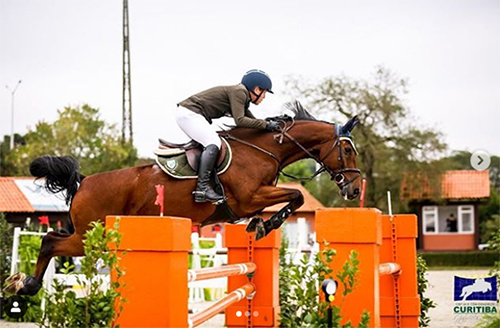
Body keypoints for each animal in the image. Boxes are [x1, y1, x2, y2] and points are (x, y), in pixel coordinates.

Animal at [5, 101, 362, 296]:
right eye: (347, 150)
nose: (355, 190)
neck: (263, 150)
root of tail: (84, 181)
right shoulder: (249, 197)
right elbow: (295, 196)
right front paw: (265, 224)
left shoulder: (252, 200)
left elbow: (290, 200)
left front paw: (259, 225)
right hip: (90, 236)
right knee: (50, 242)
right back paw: (26, 285)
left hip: (90, 234)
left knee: (52, 239)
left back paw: (24, 285)